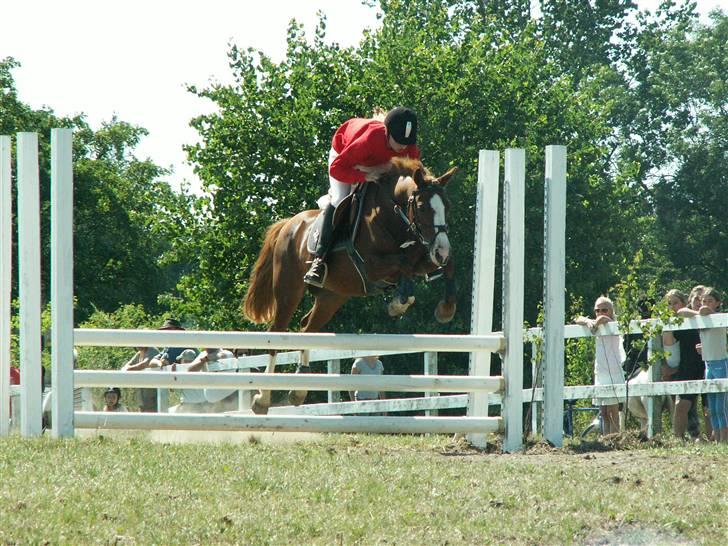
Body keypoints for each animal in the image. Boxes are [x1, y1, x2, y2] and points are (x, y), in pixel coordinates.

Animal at [242, 157, 458, 412]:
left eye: (447, 206)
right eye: (423, 207)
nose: (441, 251)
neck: (393, 216)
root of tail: (288, 224)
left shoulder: (424, 255)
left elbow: (445, 266)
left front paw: (446, 309)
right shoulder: (373, 265)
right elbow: (403, 263)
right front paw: (400, 302)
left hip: (332, 296)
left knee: (307, 328)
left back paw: (299, 390)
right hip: (289, 289)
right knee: (276, 334)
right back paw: (263, 398)